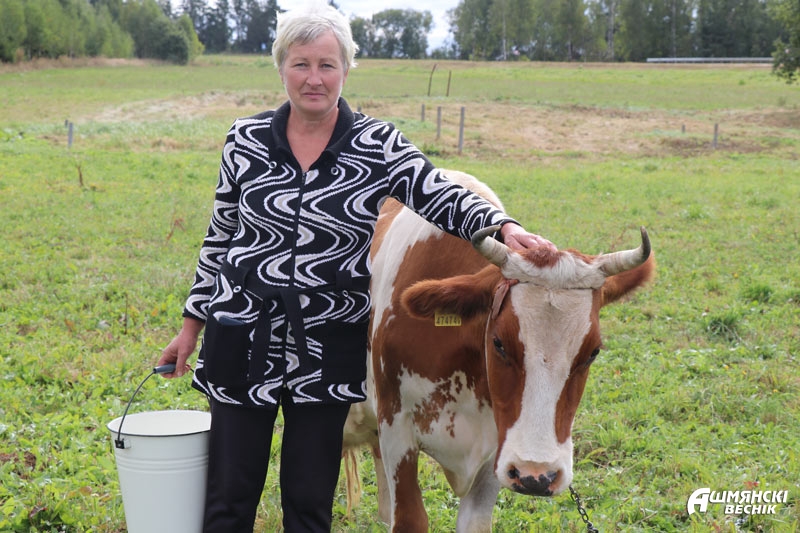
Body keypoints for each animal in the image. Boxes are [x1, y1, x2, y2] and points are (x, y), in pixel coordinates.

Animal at [342, 170, 655, 532]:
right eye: (499, 343)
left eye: (593, 352)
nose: (537, 475)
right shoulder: (397, 433)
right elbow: (410, 517)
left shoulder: (499, 451)